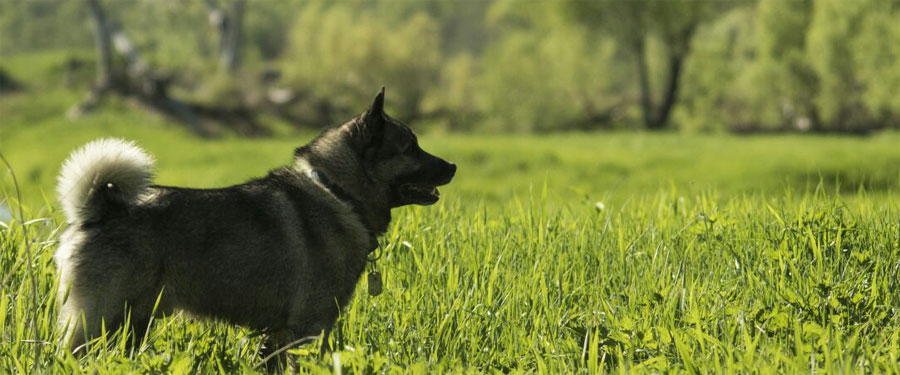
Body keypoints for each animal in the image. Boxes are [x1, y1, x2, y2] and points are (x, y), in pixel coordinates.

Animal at [54, 89, 458, 368]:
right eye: (410, 147)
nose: (453, 165)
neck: (338, 193)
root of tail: (101, 209)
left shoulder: (278, 335)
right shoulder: (309, 329)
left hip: (134, 323)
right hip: (100, 320)